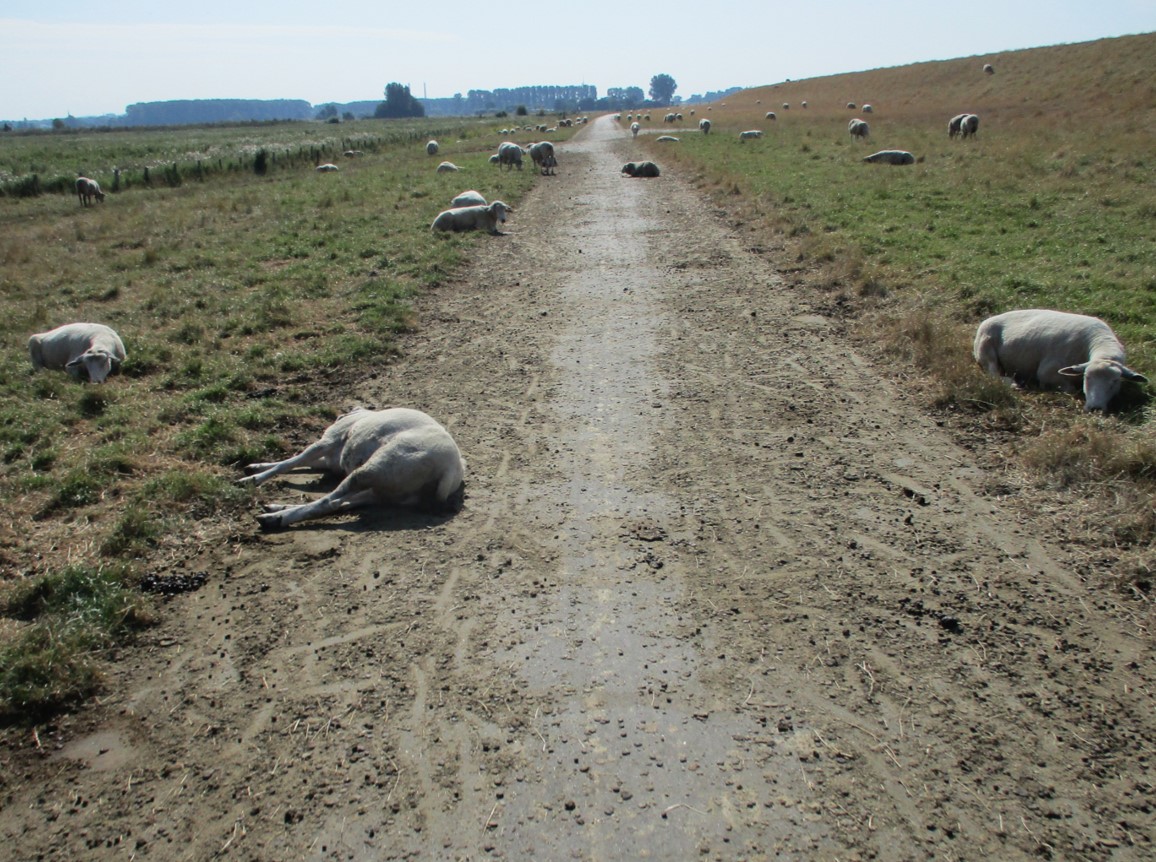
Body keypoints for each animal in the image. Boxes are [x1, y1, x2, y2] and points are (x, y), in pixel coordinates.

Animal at [239, 407, 465, 529]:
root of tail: (450, 470)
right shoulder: (331, 461)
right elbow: (298, 461)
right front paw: (254, 466)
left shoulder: (327, 441)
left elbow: (292, 461)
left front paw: (252, 479)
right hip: (385, 490)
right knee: (340, 503)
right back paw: (275, 509)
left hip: (373, 469)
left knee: (328, 502)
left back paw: (274, 518)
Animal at [973, 309, 1148, 412]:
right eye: (1087, 377)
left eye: (1115, 381)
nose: (1095, 408)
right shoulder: (1047, 372)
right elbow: (1069, 389)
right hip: (985, 348)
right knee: (993, 373)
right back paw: (1013, 384)